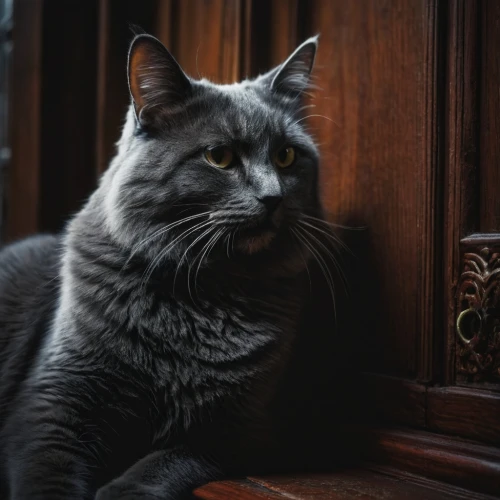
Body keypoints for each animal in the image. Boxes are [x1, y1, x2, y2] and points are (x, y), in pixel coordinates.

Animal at [0, 33, 340, 498]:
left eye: (287, 156)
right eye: (219, 156)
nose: (273, 198)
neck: (201, 294)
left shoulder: (235, 428)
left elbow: (159, 467)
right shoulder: (50, 405)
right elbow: (48, 478)